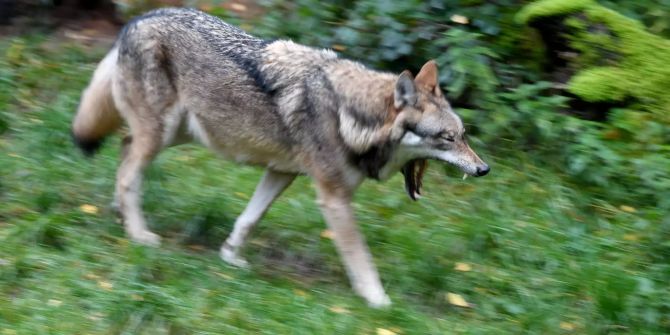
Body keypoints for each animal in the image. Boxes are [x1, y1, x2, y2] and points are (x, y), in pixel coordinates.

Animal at [71, 7, 490, 308]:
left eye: (463, 136)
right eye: (447, 138)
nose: (484, 168)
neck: (350, 115)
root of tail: (137, 20)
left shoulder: (281, 173)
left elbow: (249, 219)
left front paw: (230, 257)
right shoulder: (334, 198)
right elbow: (361, 258)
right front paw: (380, 302)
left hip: (176, 134)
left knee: (125, 152)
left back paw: (121, 213)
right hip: (162, 134)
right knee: (129, 172)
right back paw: (138, 234)